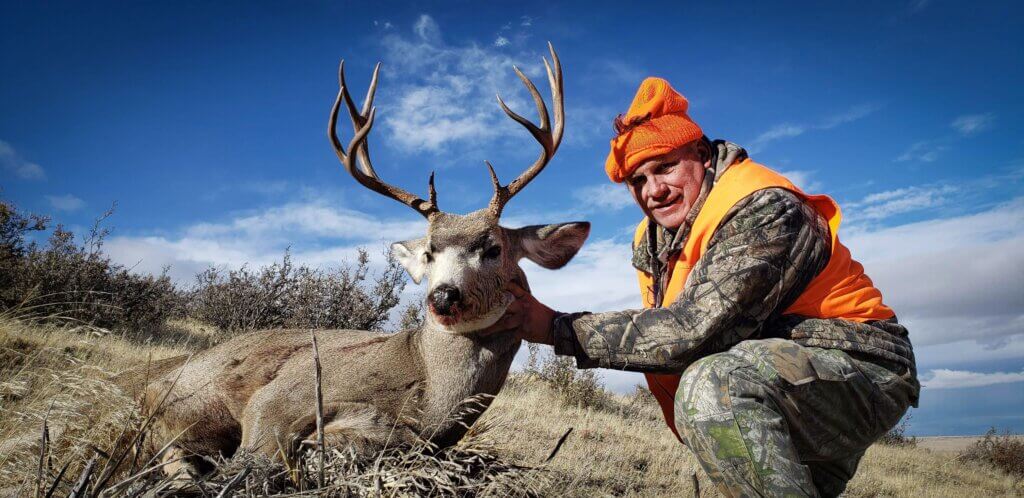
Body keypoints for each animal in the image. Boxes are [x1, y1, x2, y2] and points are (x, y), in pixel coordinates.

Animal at [131, 43, 589, 477]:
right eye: (429, 252)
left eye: (493, 248)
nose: (443, 296)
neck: (425, 390)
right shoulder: (280, 396)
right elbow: (256, 462)